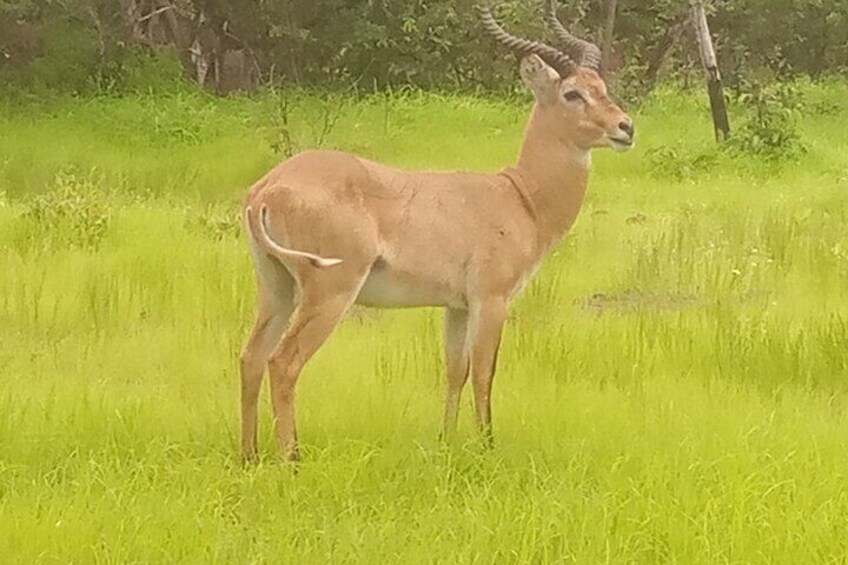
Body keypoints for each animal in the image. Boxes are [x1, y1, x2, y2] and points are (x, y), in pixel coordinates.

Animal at [242, 2, 632, 460]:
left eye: (601, 86)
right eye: (573, 93)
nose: (625, 128)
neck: (519, 198)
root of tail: (267, 189)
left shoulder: (456, 306)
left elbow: (455, 370)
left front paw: (446, 441)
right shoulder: (491, 298)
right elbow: (484, 372)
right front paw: (487, 446)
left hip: (277, 286)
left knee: (251, 357)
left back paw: (248, 456)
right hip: (330, 290)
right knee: (283, 362)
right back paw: (292, 458)